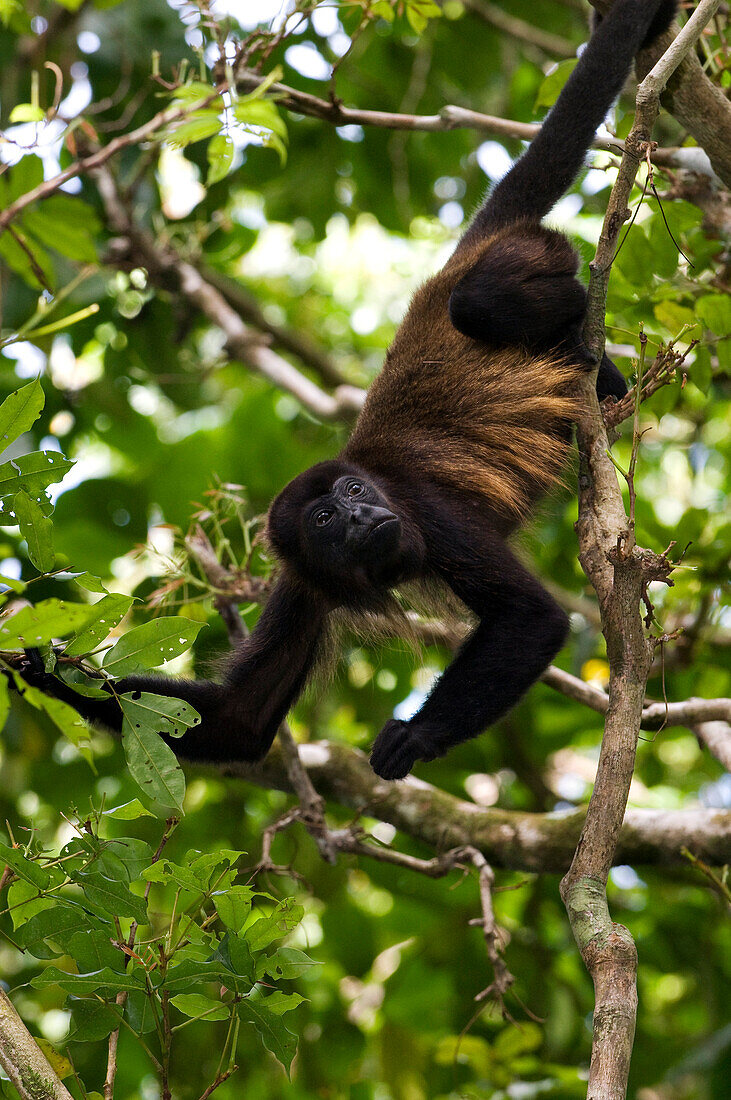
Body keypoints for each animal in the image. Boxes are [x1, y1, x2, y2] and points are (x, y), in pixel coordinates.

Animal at [17, 4, 677, 787]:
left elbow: (533, 618)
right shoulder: (302, 580)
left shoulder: (427, 512)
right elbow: (239, 720)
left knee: (482, 304)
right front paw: (42, 666)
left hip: (523, 255)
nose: (360, 516)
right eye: (327, 519)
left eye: (356, 495)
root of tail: (459, 258)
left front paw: (417, 736)